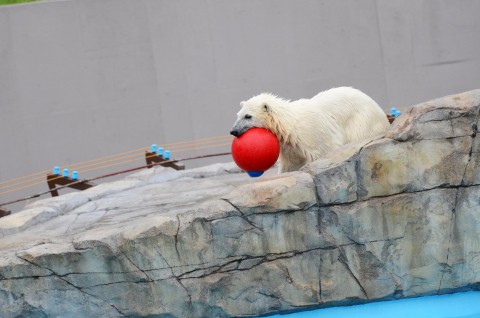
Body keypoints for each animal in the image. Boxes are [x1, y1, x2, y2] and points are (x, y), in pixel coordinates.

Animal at [231, 85, 392, 173]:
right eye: (238, 115)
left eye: (248, 116)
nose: (233, 131)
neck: (288, 125)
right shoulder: (289, 146)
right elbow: (290, 165)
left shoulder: (313, 134)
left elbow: (325, 151)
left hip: (362, 121)